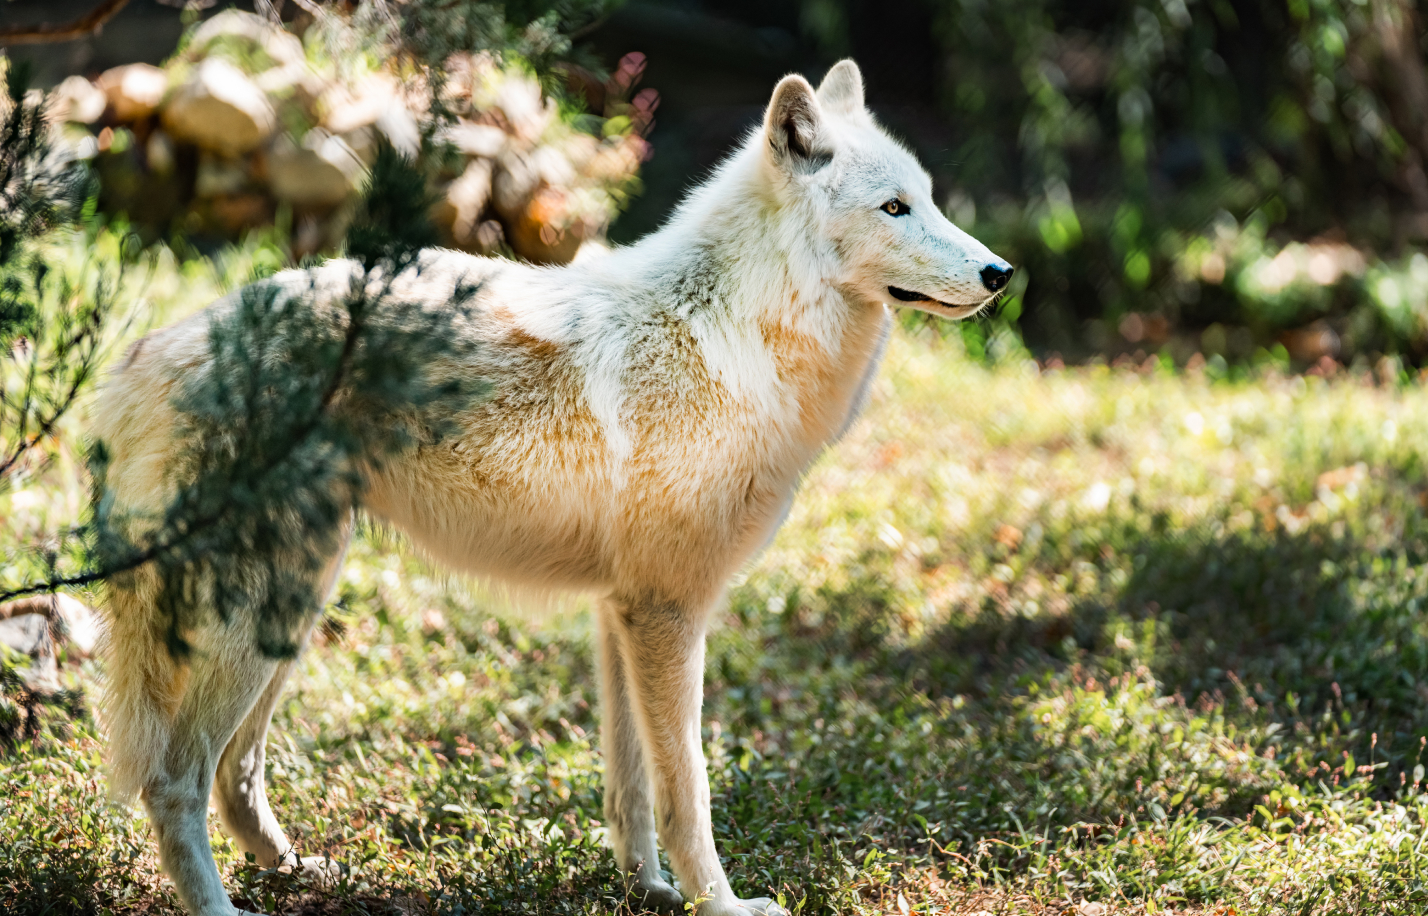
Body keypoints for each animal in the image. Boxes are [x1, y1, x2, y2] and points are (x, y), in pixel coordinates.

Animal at [92, 60, 1011, 916]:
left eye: (930, 201)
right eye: (894, 208)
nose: (1001, 272)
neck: (731, 332)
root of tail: (153, 354)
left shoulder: (623, 614)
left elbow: (633, 788)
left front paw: (650, 891)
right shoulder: (667, 612)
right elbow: (690, 791)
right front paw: (719, 902)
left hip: (293, 607)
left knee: (236, 769)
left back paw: (294, 870)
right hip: (262, 614)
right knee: (175, 779)